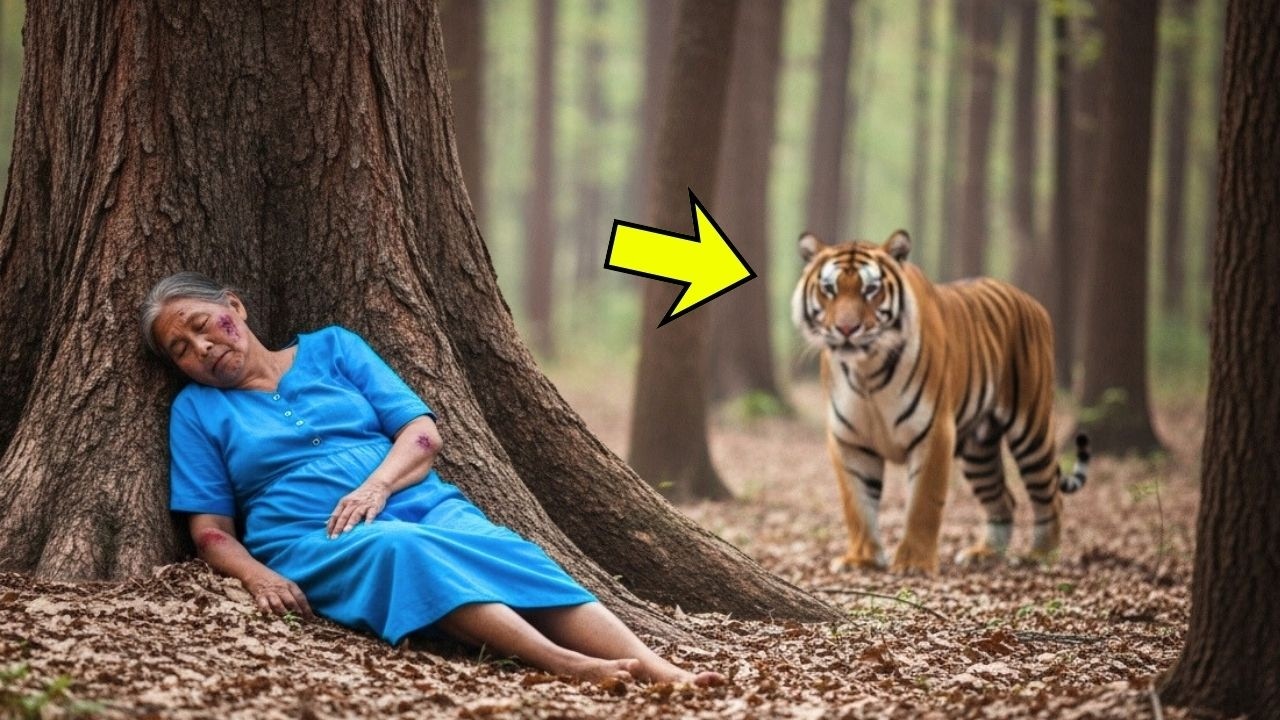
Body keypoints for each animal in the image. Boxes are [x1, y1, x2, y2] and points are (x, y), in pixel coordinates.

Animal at [791, 229, 1088, 574]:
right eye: (829, 289)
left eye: (871, 289)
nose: (846, 329)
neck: (866, 371)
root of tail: (1032, 301)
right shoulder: (849, 440)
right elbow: (857, 504)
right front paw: (861, 558)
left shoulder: (934, 431)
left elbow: (923, 502)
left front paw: (913, 562)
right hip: (977, 450)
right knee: (1004, 499)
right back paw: (985, 553)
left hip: (1031, 428)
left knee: (1049, 495)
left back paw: (1040, 554)